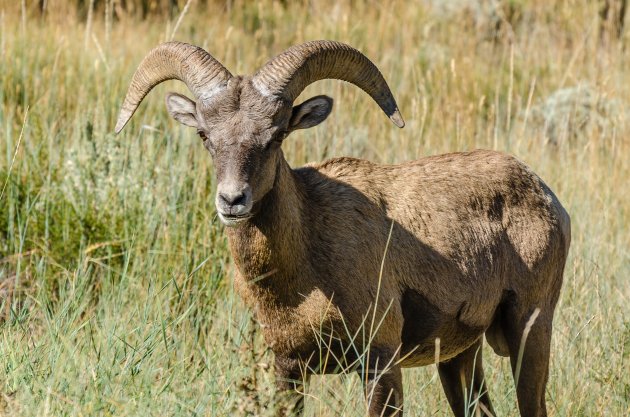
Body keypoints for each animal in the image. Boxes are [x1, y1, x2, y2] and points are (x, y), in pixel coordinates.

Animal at [115, 40, 572, 416]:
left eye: (276, 136)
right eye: (204, 135)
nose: (232, 201)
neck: (300, 276)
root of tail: (547, 197)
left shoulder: (380, 361)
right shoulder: (288, 368)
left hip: (529, 330)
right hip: (460, 357)